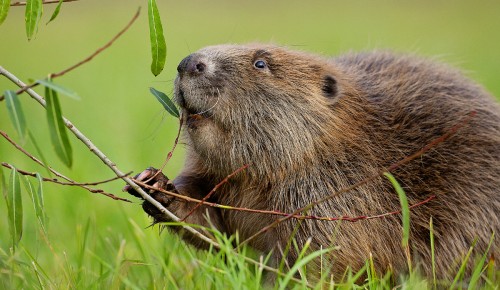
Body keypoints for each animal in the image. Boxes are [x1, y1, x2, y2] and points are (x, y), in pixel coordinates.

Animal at [127, 43, 500, 280]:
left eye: (261, 63)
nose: (188, 63)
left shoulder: (336, 190)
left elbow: (325, 254)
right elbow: (211, 224)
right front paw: (155, 186)